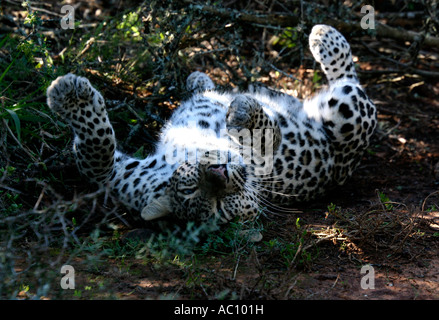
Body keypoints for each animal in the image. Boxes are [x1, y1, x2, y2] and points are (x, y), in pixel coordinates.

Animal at [47, 25, 378, 228]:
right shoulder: (122, 177)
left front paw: (241, 111)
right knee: (351, 85)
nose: (219, 174)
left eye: (224, 204)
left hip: (345, 114)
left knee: (350, 82)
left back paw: (324, 36)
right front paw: (74, 98)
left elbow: (268, 132)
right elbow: (97, 154)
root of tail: (344, 166)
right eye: (195, 192)